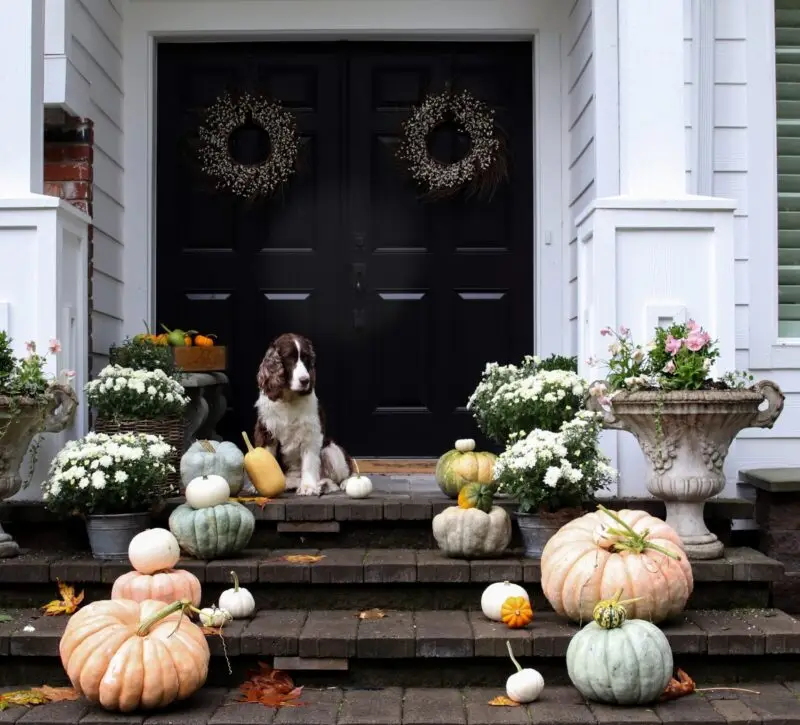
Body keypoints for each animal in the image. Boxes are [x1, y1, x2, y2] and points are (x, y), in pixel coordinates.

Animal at [252, 336, 348, 494]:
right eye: (289, 358)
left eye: (306, 358)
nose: (305, 380)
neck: (288, 399)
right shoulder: (266, 430)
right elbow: (267, 455)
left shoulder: (311, 433)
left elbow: (309, 461)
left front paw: (308, 487)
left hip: (331, 450)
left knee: (346, 472)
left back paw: (341, 483)